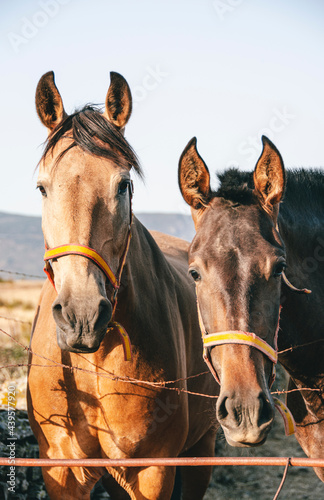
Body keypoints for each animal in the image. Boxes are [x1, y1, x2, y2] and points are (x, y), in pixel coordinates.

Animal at [26, 71, 216, 500]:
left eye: (123, 185)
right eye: (43, 187)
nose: (81, 317)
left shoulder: (153, 471)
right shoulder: (61, 470)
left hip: (203, 445)